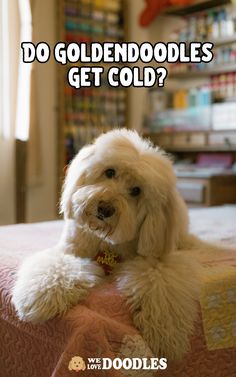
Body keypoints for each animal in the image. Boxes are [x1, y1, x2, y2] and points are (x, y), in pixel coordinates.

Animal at [12, 129, 205, 358]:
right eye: (110, 172)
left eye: (136, 191)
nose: (104, 209)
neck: (106, 242)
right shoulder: (69, 251)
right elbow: (56, 268)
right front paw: (40, 297)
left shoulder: (157, 262)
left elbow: (161, 287)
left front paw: (167, 334)